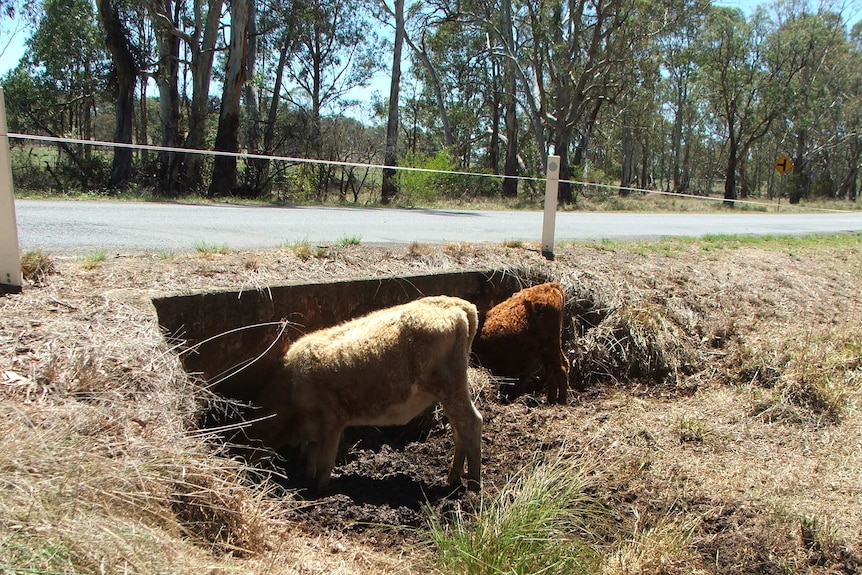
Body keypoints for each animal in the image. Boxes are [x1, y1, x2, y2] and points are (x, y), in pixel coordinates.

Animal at [246, 296, 482, 490]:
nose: (248, 473)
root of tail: (456, 304)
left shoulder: (332, 421)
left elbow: (325, 460)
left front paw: (320, 489)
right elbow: (311, 453)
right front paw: (306, 478)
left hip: (450, 386)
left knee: (471, 423)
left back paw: (473, 485)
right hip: (449, 392)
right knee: (458, 429)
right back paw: (454, 478)